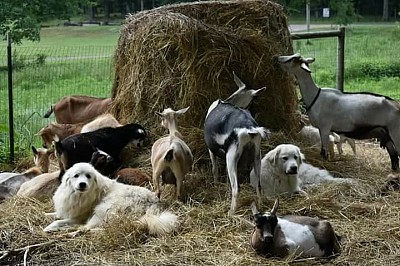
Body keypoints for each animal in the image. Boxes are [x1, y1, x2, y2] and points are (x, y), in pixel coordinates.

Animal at [43, 162, 179, 235]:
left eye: (88, 176)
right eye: (76, 176)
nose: (82, 184)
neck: (78, 195)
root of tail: (155, 202)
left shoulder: (78, 218)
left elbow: (58, 221)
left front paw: (48, 228)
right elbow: (55, 215)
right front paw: (47, 215)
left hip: (102, 209)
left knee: (88, 228)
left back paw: (71, 232)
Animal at [205, 72, 268, 214]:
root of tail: (249, 129)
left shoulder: (211, 150)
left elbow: (214, 169)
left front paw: (216, 185)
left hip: (232, 156)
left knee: (236, 187)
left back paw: (231, 212)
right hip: (257, 155)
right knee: (259, 184)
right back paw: (261, 206)